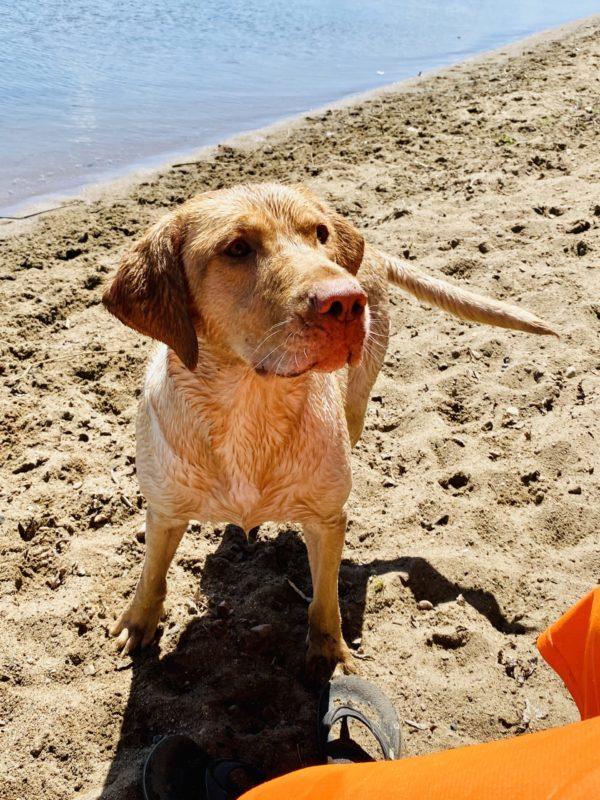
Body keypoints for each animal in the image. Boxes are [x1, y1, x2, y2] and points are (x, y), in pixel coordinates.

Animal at [101, 181, 556, 676]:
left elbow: (325, 599)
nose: (346, 301)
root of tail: (368, 251)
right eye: (237, 248)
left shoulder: (326, 520)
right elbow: (151, 575)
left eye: (320, 233)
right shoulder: (163, 511)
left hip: (357, 400)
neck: (250, 409)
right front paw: (137, 623)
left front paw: (329, 655)